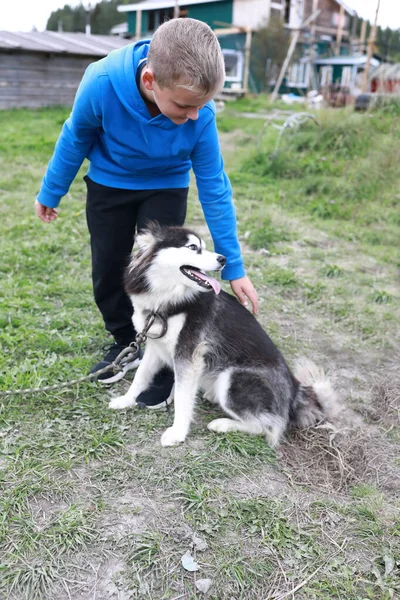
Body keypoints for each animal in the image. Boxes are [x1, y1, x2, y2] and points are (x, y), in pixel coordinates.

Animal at [109, 224, 338, 446]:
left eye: (204, 246)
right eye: (193, 247)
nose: (224, 259)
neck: (167, 300)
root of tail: (294, 391)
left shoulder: (188, 355)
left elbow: (183, 397)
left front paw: (177, 433)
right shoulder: (155, 345)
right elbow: (141, 376)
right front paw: (126, 400)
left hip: (232, 378)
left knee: (268, 426)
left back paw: (223, 424)